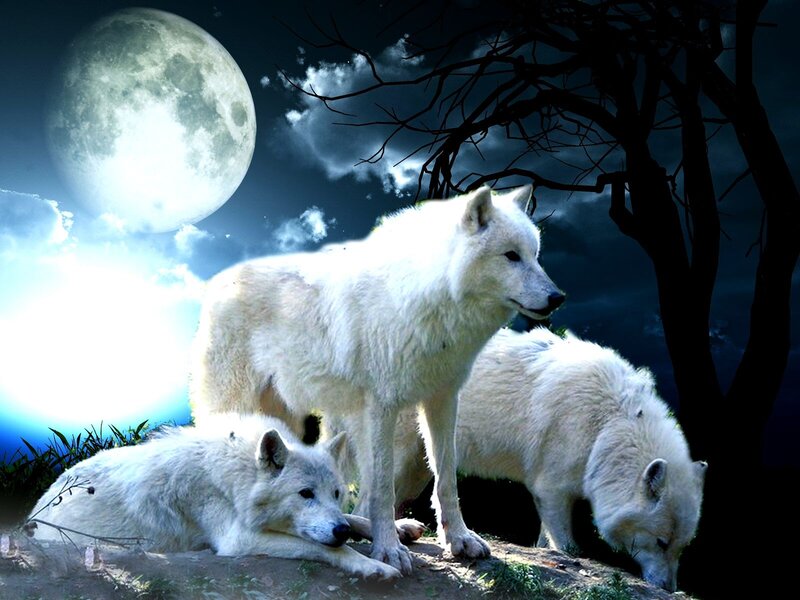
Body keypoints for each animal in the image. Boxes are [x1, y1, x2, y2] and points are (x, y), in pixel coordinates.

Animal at [26, 413, 422, 579]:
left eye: (336, 493)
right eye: (305, 494)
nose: (339, 531)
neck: (237, 478)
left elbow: (357, 517)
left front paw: (398, 530)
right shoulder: (239, 540)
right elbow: (328, 549)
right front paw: (374, 566)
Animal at [190, 185, 564, 574]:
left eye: (535, 255)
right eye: (511, 256)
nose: (557, 297)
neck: (430, 300)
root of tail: (220, 282)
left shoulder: (443, 398)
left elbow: (446, 477)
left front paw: (459, 540)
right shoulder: (382, 406)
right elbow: (383, 487)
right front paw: (388, 550)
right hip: (241, 408)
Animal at [372, 327, 706, 591]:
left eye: (681, 547)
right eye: (661, 542)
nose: (668, 588)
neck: (608, 425)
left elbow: (548, 545)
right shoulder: (550, 490)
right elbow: (569, 548)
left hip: (418, 471)